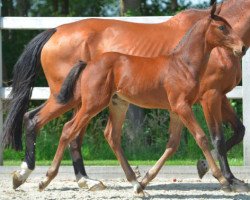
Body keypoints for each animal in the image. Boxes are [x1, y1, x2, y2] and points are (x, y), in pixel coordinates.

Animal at [3, 0, 250, 191]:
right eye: (222, 27)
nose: (242, 48)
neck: (184, 61)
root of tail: (54, 31)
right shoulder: (208, 97)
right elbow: (212, 137)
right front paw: (225, 179)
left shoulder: (199, 102)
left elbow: (235, 131)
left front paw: (211, 171)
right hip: (74, 98)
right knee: (43, 122)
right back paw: (29, 174)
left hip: (91, 101)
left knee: (81, 134)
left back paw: (91, 180)